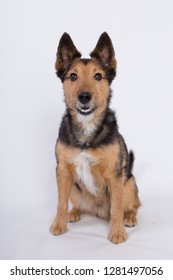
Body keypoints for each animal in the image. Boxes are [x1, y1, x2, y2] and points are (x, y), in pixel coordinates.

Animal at [50, 32, 141, 243]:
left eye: (98, 76)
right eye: (73, 76)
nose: (84, 96)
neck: (87, 128)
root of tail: (98, 211)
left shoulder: (115, 176)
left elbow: (116, 208)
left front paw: (117, 232)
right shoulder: (63, 171)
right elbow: (60, 203)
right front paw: (59, 224)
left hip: (129, 183)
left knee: (134, 205)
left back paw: (129, 217)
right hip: (74, 187)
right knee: (76, 204)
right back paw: (73, 213)